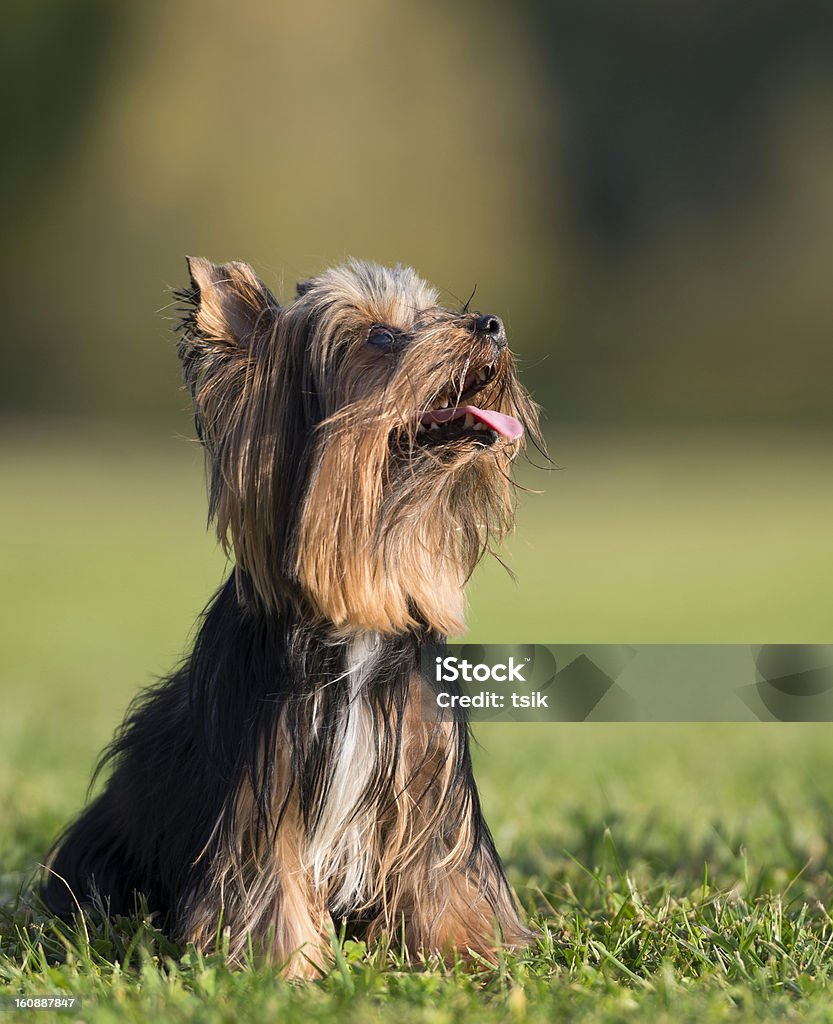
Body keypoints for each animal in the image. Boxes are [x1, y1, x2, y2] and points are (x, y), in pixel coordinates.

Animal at [43, 256, 540, 974]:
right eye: (381, 338)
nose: (491, 324)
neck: (355, 607)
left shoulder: (425, 767)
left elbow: (440, 873)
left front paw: (467, 953)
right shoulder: (262, 782)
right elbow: (266, 878)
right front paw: (281, 968)